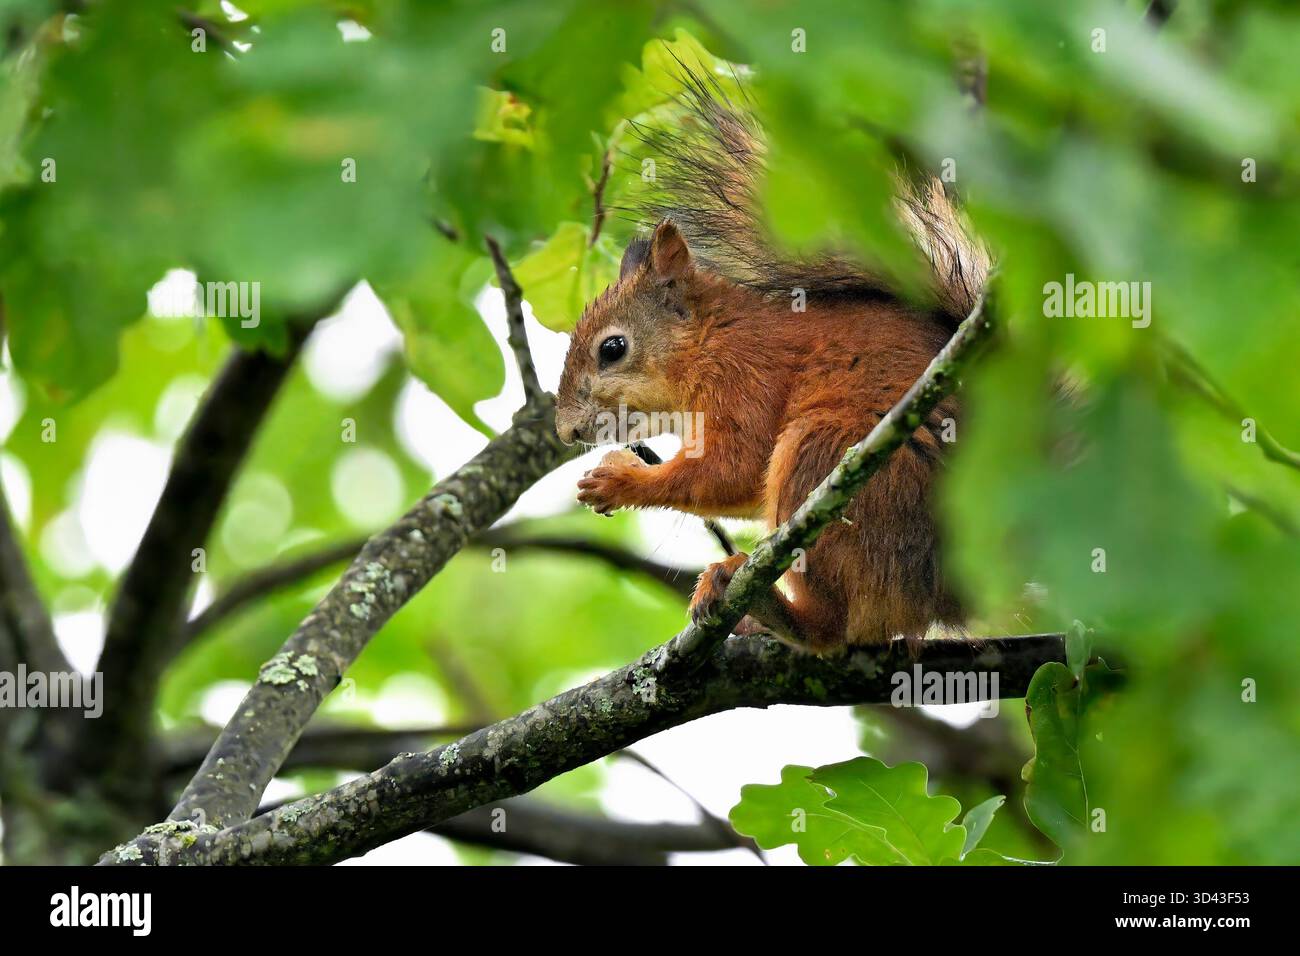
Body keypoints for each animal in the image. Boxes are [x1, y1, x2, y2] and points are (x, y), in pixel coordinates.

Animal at [554, 70, 990, 653]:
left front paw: (617, 481)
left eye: (612, 349)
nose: (565, 431)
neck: (709, 340)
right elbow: (742, 487)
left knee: (830, 628)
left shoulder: (746, 377)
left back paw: (762, 602)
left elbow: (733, 467)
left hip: (830, 455)